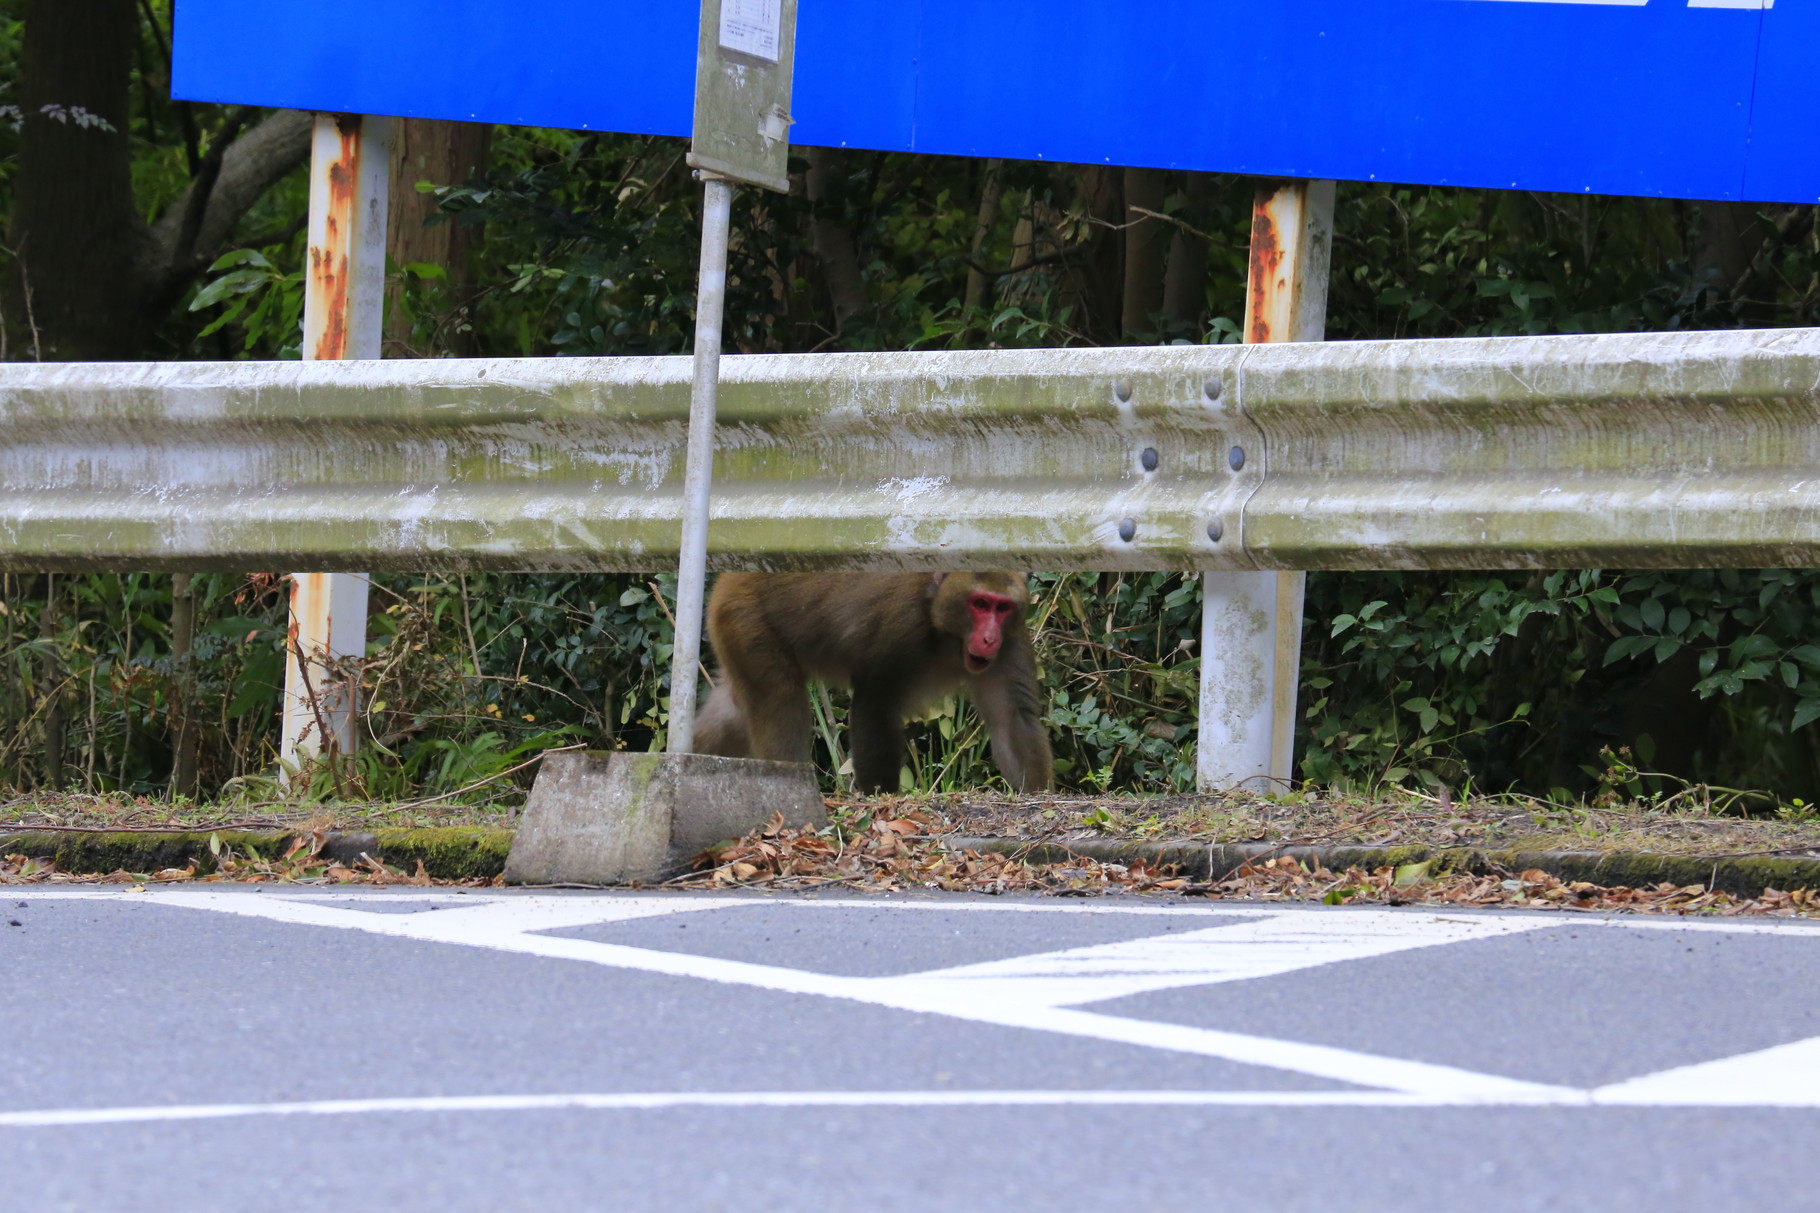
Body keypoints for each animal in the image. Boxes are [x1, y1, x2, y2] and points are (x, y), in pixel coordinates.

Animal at [687, 568, 1055, 794]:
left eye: (1002, 608)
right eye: (980, 603)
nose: (989, 638)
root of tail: (729, 578)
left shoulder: (1011, 640)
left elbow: (1011, 720)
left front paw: (1036, 792)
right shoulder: (901, 629)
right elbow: (874, 706)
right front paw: (881, 795)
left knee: (735, 709)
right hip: (746, 619)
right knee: (780, 700)